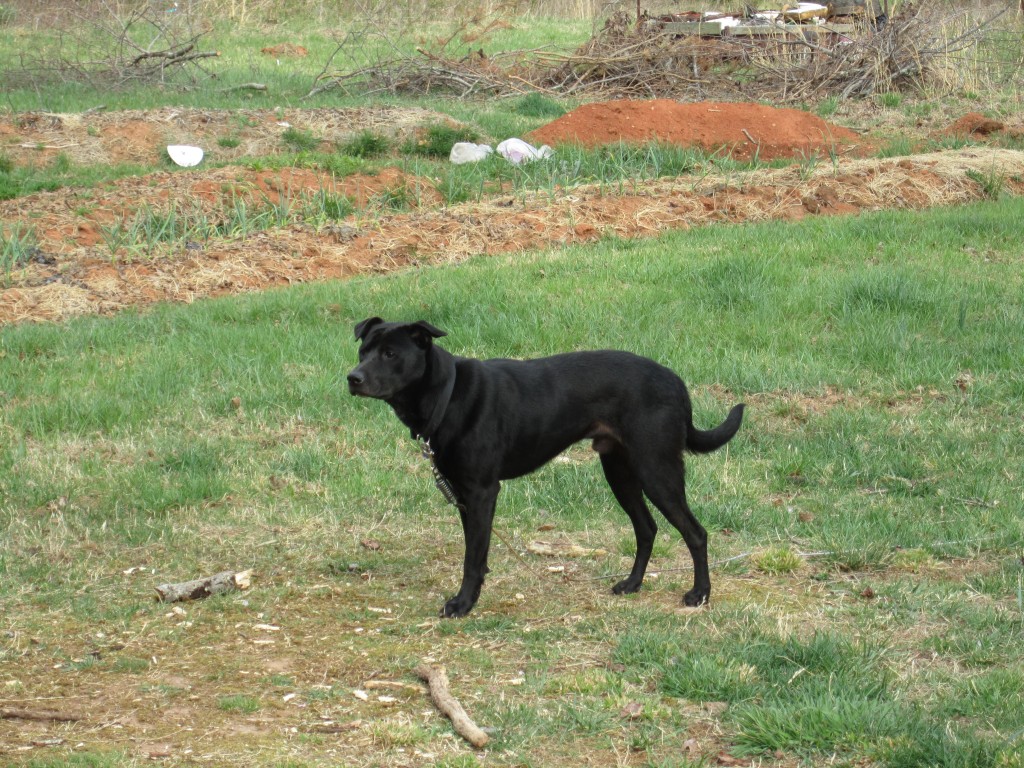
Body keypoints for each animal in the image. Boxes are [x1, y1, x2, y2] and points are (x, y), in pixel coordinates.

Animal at [346, 319, 745, 618]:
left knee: (696, 533)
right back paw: (632, 584)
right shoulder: (462, 494)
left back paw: (699, 594)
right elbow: (478, 551)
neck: (448, 393)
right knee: (646, 529)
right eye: (363, 351)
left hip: (657, 470)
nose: (353, 378)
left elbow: (472, 557)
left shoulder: (481, 491)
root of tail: (676, 383)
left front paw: (463, 604)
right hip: (620, 471)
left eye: (390, 353)